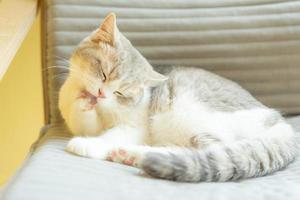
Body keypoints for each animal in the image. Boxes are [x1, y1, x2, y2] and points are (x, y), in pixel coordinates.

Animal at [58, 12, 298, 181]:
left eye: (121, 92)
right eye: (104, 73)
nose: (101, 94)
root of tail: (279, 121)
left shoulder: (135, 127)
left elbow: (110, 135)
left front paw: (88, 144)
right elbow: (81, 118)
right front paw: (83, 102)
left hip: (189, 109)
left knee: (211, 149)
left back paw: (134, 154)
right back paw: (130, 155)